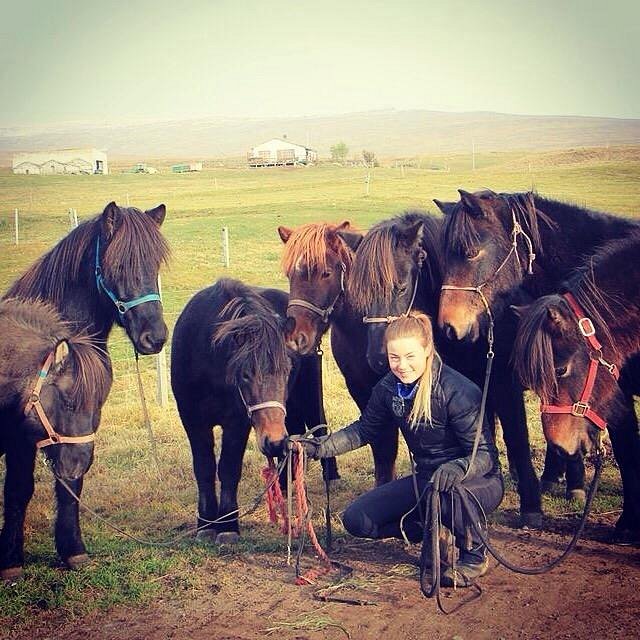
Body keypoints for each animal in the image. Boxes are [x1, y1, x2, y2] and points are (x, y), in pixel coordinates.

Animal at [170, 278, 340, 544]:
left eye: (287, 370)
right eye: (245, 374)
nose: (273, 441)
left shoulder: (237, 422)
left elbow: (229, 468)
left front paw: (227, 526)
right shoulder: (192, 419)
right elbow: (204, 468)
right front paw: (206, 524)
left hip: (307, 393)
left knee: (317, 423)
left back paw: (329, 475)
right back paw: (284, 483)